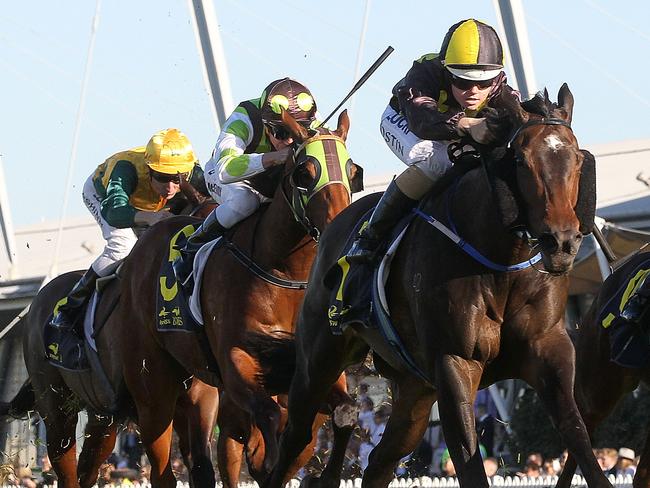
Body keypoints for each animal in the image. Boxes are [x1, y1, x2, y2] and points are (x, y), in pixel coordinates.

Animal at [116, 108, 360, 486]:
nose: (339, 227)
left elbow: (344, 414)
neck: (285, 274)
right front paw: (271, 463)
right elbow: (268, 420)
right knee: (171, 462)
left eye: (351, 171)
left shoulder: (315, 369)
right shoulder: (235, 362)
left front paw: (322, 474)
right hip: (153, 386)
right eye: (305, 173)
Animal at [266, 85, 612, 488]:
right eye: (521, 161)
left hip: (415, 389)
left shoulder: (548, 349)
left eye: (577, 160)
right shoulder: (454, 363)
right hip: (318, 363)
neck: (501, 261)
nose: (562, 243)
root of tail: (332, 227)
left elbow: (578, 435)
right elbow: (468, 456)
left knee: (381, 460)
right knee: (294, 439)